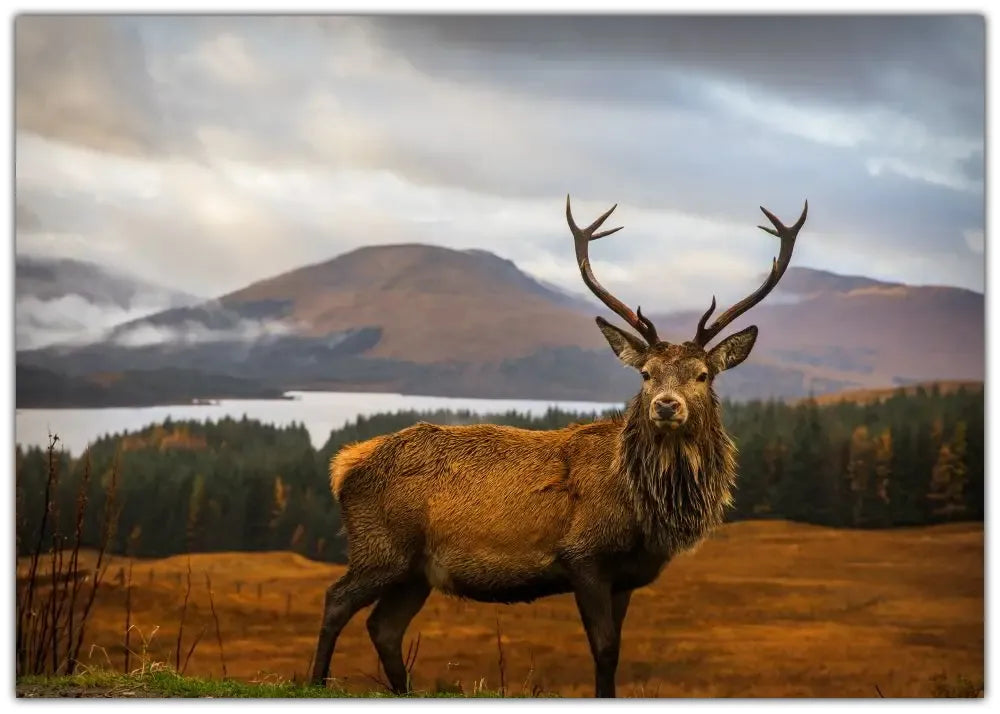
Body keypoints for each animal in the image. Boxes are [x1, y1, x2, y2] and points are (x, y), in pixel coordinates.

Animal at [310, 195, 808, 697]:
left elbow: (615, 651)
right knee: (335, 600)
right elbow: (604, 650)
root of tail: (344, 464)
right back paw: (316, 680)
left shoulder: (626, 577)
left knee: (384, 627)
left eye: (703, 375)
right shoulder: (583, 556)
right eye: (645, 374)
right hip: (381, 546)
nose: (666, 405)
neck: (646, 511)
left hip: (415, 570)